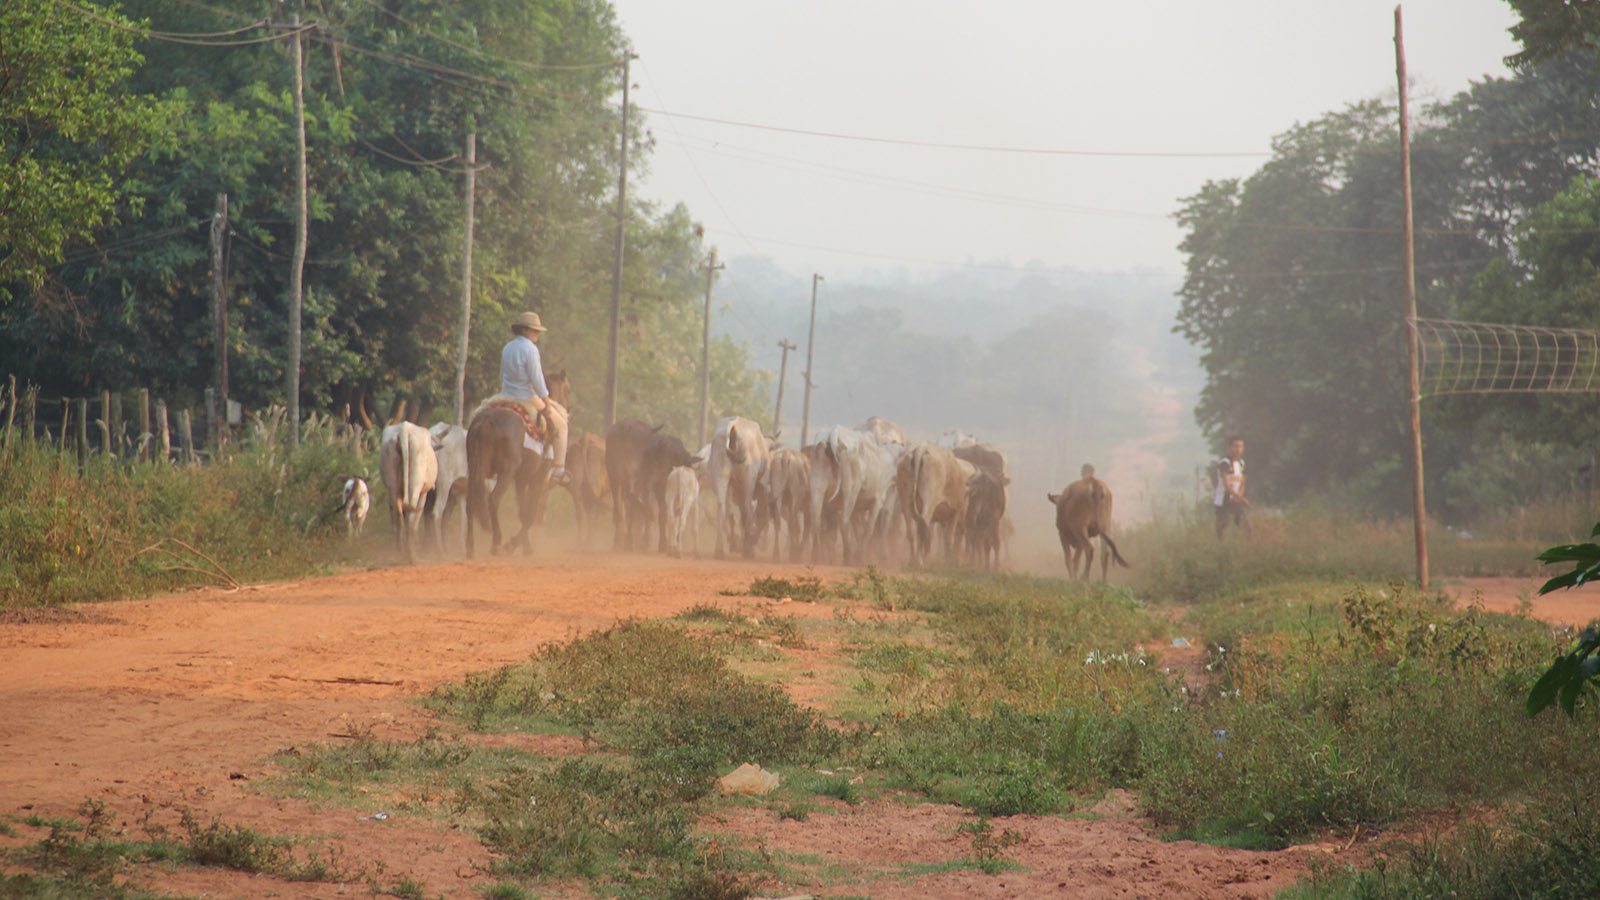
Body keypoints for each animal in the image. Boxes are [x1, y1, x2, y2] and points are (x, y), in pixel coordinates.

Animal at [467, 369, 572, 554]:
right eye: (567, 390)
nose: (567, 410)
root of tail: (485, 421)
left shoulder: (521, 479)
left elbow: (523, 512)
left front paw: (525, 546)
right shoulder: (539, 478)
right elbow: (530, 513)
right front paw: (515, 545)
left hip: (475, 470)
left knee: (471, 503)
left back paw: (470, 548)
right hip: (506, 473)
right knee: (493, 500)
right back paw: (497, 542)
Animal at [707, 416, 768, 557]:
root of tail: (734, 426)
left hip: (721, 475)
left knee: (722, 507)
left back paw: (720, 550)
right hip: (749, 476)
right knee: (747, 506)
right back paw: (749, 549)